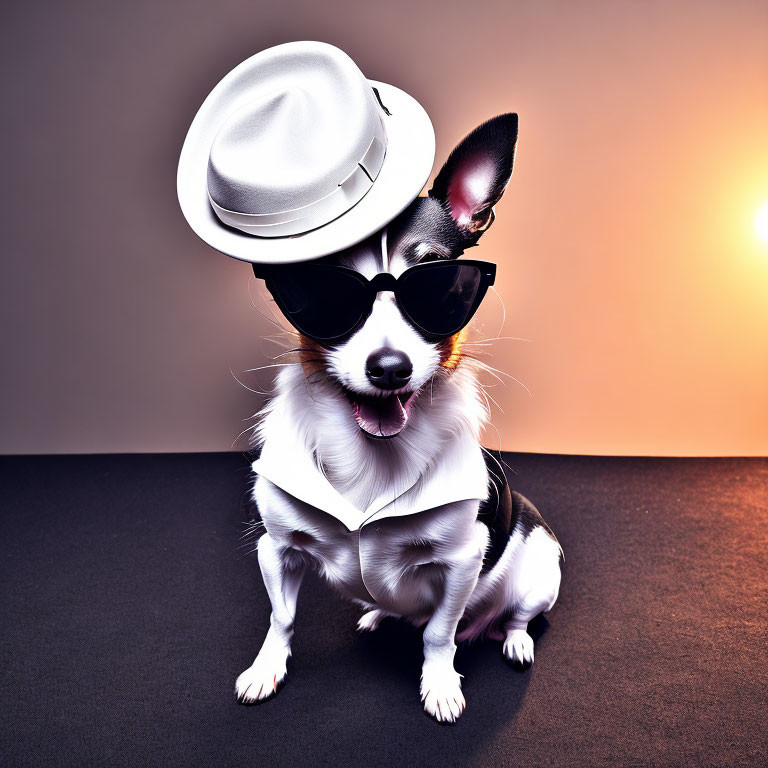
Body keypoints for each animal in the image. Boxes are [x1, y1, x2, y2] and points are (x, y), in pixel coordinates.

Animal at [236, 112, 564, 720]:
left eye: (443, 288)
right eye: (326, 293)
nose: (390, 366)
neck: (373, 457)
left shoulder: (461, 562)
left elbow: (438, 633)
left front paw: (439, 685)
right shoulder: (277, 548)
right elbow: (282, 617)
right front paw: (267, 668)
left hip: (539, 573)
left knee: (514, 616)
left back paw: (513, 640)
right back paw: (379, 611)